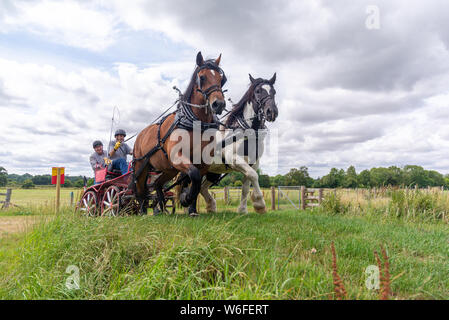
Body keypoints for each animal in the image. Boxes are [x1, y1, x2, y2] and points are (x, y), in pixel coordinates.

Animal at [131, 52, 226, 216]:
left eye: (222, 79)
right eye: (202, 77)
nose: (218, 104)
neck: (195, 122)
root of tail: (140, 135)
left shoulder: (202, 161)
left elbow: (196, 182)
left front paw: (192, 209)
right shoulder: (177, 156)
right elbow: (194, 175)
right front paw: (185, 199)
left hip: (168, 168)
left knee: (157, 184)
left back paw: (162, 208)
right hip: (141, 166)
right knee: (140, 188)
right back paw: (143, 210)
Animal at [200, 74, 276, 214]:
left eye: (274, 92)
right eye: (258, 91)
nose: (272, 112)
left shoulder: (253, 162)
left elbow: (247, 184)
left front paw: (243, 210)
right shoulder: (234, 158)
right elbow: (254, 176)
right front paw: (259, 203)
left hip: (212, 172)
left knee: (201, 188)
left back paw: (211, 206)